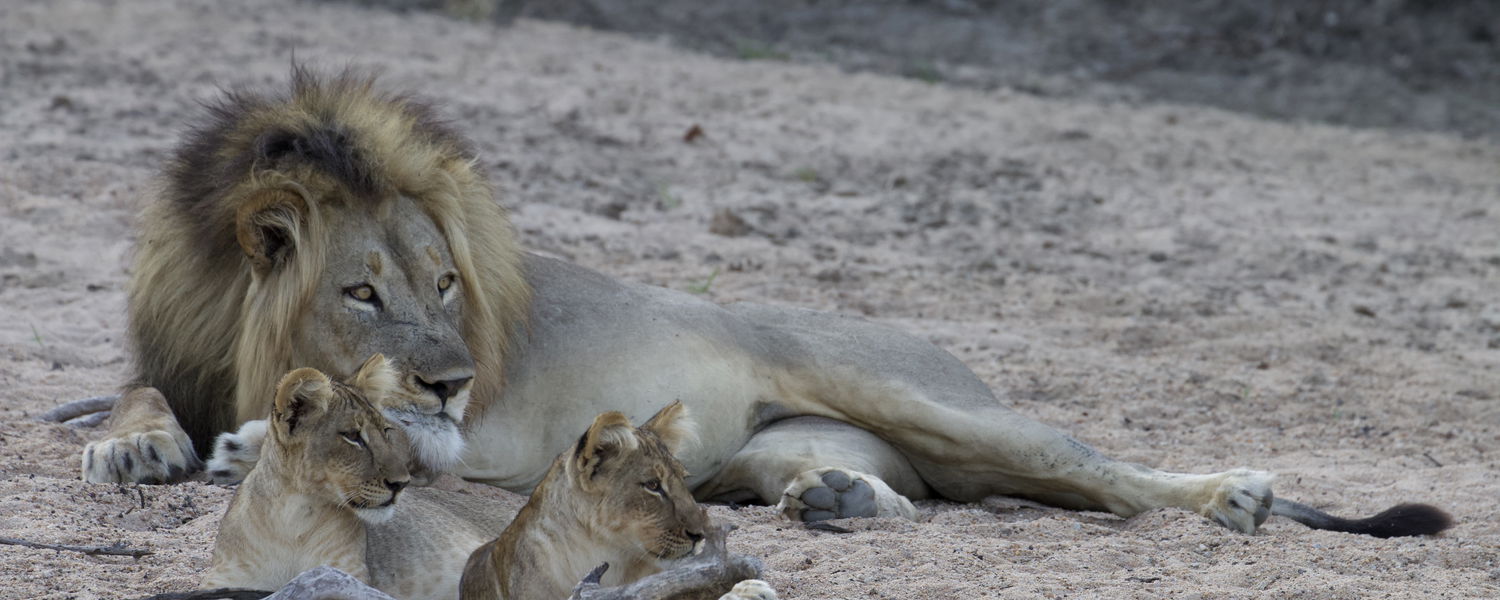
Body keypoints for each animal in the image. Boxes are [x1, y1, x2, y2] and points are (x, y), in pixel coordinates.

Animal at [79, 67, 1440, 537]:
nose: (456, 374)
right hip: (780, 452)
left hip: (930, 394)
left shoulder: (494, 433)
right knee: (922, 492)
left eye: (449, 283)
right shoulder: (168, 350)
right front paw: (138, 445)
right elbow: (126, 393)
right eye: (362, 288)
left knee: (1091, 467)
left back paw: (1233, 494)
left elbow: (413, 441)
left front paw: (254, 444)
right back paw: (836, 496)